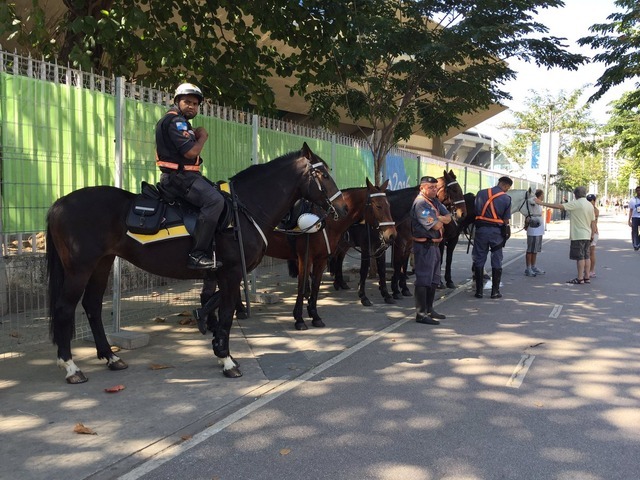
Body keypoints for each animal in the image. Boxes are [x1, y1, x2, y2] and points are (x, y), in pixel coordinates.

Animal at [45, 142, 348, 382]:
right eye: (322, 174)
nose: (342, 208)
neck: (244, 210)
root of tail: (59, 203)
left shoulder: (225, 273)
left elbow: (215, 302)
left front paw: (211, 334)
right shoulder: (232, 271)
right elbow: (226, 311)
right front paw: (226, 360)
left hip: (102, 264)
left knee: (92, 306)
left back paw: (110, 357)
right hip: (80, 268)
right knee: (64, 308)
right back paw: (71, 367)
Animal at [266, 179, 396, 330]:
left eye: (389, 205)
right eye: (378, 206)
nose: (392, 235)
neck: (325, 223)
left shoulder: (321, 260)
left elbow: (316, 286)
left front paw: (315, 316)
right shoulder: (305, 258)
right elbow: (301, 287)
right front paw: (299, 319)